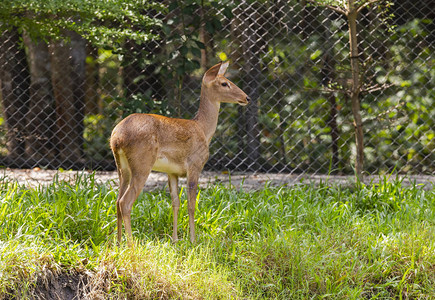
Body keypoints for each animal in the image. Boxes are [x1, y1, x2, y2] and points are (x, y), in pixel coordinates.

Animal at [110, 61, 250, 246]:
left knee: (117, 200)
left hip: (122, 167)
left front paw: (175, 239)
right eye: (224, 83)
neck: (203, 129)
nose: (247, 98)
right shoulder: (195, 164)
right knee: (125, 202)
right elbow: (191, 204)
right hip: (141, 164)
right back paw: (131, 246)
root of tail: (117, 137)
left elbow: (175, 202)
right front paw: (193, 240)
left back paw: (118, 243)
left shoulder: (172, 172)